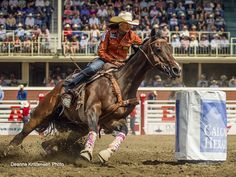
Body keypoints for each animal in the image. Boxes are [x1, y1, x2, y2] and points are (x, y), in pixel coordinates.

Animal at [6, 30, 181, 163]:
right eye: (158, 49)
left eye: (170, 47)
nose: (177, 69)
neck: (121, 83)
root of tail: (57, 87)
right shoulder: (92, 111)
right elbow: (94, 130)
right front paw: (86, 153)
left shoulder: (113, 120)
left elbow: (123, 132)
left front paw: (105, 154)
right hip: (41, 114)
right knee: (21, 134)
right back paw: (8, 152)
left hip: (78, 128)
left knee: (50, 142)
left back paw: (53, 152)